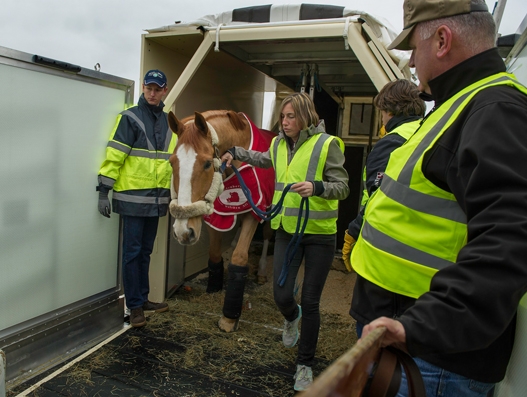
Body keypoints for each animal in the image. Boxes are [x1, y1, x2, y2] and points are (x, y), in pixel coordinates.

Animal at [169, 108, 276, 332]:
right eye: (172, 162)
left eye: (207, 163)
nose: (183, 232)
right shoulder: (216, 210)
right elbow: (214, 253)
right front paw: (214, 287)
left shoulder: (255, 210)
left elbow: (239, 257)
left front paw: (229, 318)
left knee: (267, 235)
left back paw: (261, 271)